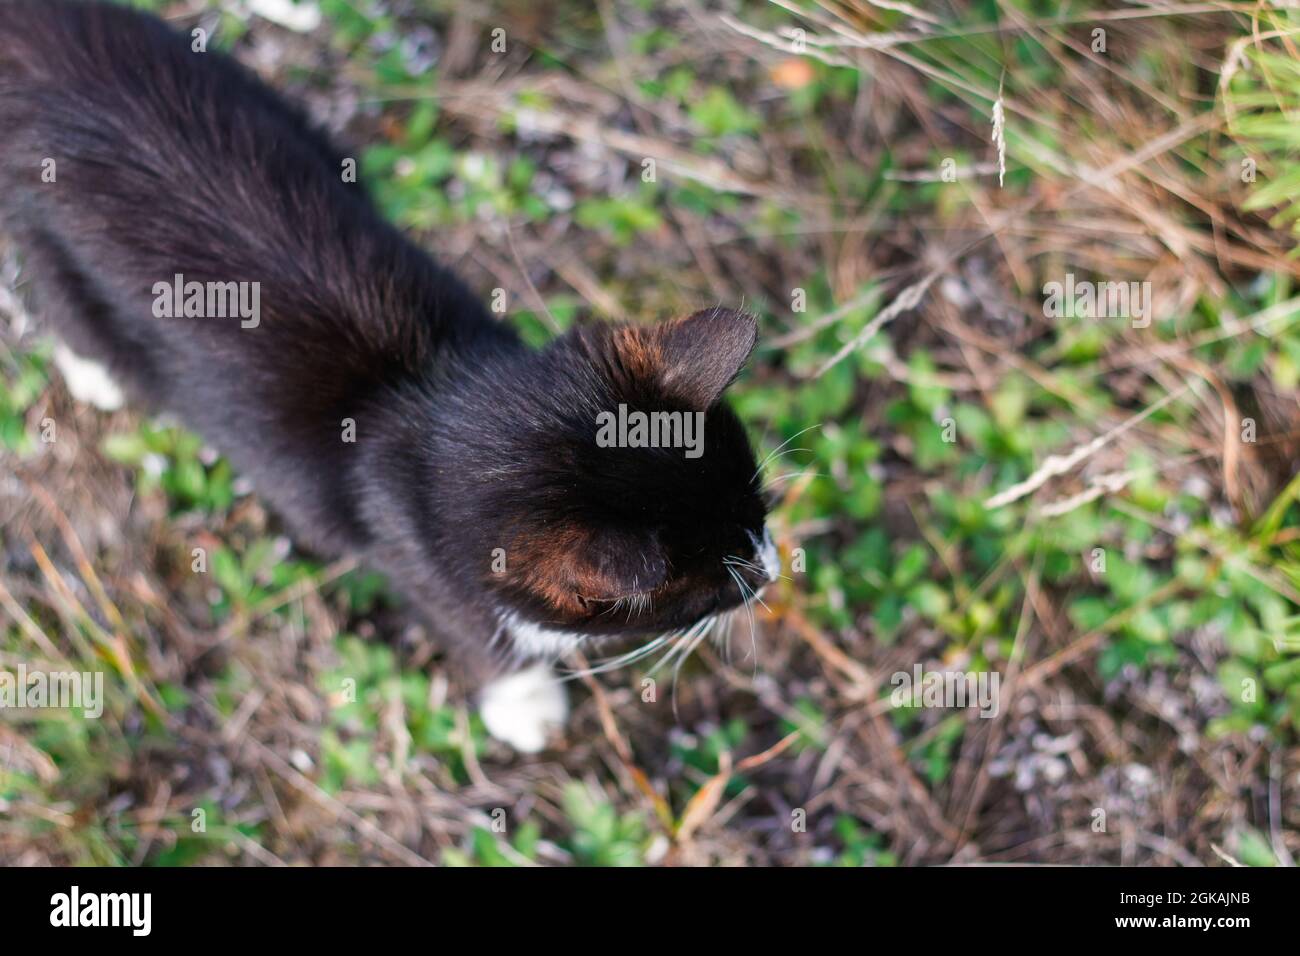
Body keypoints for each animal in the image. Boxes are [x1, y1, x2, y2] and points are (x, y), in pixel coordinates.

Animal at [0, 0, 774, 749]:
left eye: (761, 511)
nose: (771, 570)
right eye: (716, 582)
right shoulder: (422, 561)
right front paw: (525, 705)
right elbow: (477, 631)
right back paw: (97, 376)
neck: (436, 391)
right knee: (66, 305)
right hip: (51, 235)